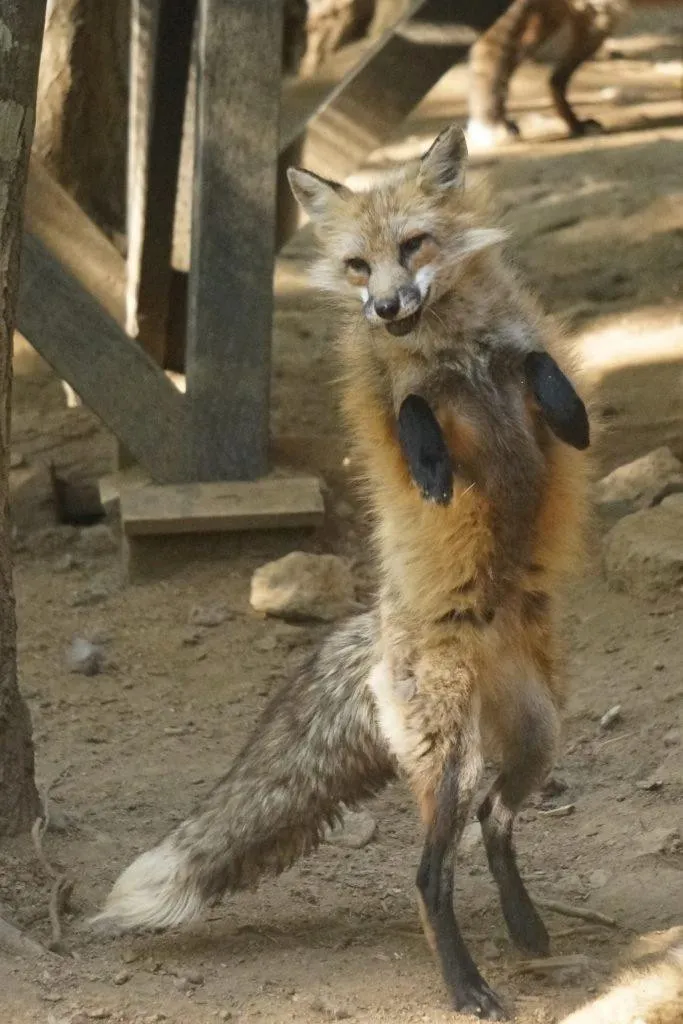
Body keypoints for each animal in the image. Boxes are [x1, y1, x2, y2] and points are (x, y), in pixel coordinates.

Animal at [93, 124, 590, 1019]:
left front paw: (560, 402)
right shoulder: (389, 400)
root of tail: (380, 622)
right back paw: (467, 986)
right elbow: (407, 412)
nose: (387, 308)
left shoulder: (518, 366)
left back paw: (525, 929)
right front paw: (430, 465)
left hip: (534, 740)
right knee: (429, 875)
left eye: (412, 246)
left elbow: (541, 371)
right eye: (358, 266)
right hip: (446, 757)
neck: (448, 349)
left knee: (492, 823)